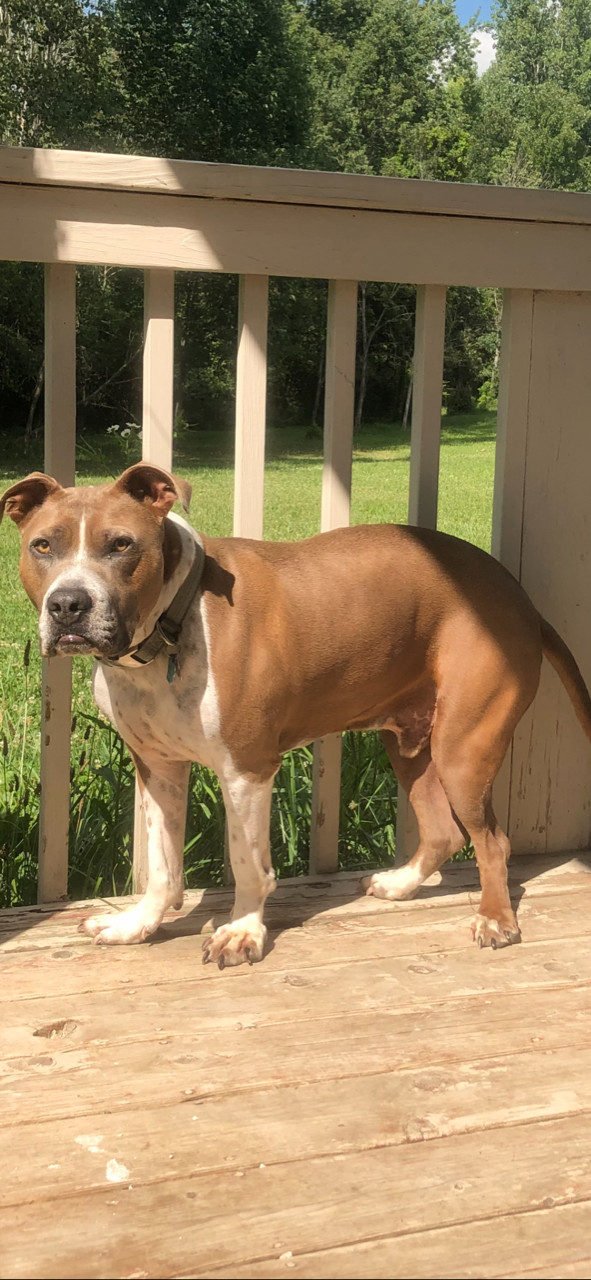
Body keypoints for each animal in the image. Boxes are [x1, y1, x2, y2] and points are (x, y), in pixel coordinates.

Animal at [1, 460, 591, 962]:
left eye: (122, 545)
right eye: (42, 545)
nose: (68, 604)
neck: (171, 624)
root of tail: (518, 595)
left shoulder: (246, 770)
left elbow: (246, 862)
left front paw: (241, 932)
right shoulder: (159, 767)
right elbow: (162, 864)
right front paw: (136, 925)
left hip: (464, 747)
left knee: (492, 840)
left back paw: (496, 920)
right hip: (409, 741)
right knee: (443, 829)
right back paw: (399, 884)